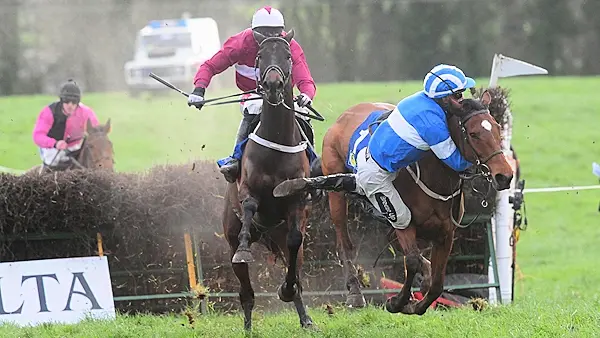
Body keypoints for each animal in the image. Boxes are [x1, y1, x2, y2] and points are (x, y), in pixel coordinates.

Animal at [221, 28, 316, 330]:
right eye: (261, 56)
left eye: (287, 56)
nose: (273, 85)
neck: (277, 141)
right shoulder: (249, 189)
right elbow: (250, 206)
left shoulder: (296, 200)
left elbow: (295, 242)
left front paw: (286, 291)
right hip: (231, 239)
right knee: (246, 293)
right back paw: (248, 327)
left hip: (280, 236)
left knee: (295, 269)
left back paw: (305, 318)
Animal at [274, 91, 512, 316]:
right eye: (473, 134)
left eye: (498, 128)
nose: (505, 176)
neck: (433, 174)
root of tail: (343, 116)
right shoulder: (403, 222)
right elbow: (412, 260)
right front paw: (398, 302)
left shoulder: (446, 233)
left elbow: (436, 283)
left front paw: (417, 300)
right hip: (338, 195)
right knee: (344, 242)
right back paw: (355, 293)